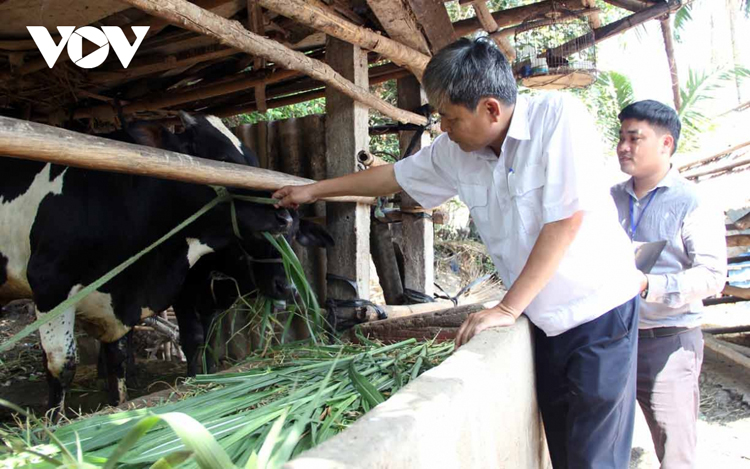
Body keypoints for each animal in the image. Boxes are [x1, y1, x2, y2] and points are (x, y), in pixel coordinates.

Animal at [0, 111, 294, 412]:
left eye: (254, 162)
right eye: (223, 160)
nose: (285, 217)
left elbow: (118, 360)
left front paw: (118, 403)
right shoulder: (50, 284)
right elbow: (62, 365)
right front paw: (54, 421)